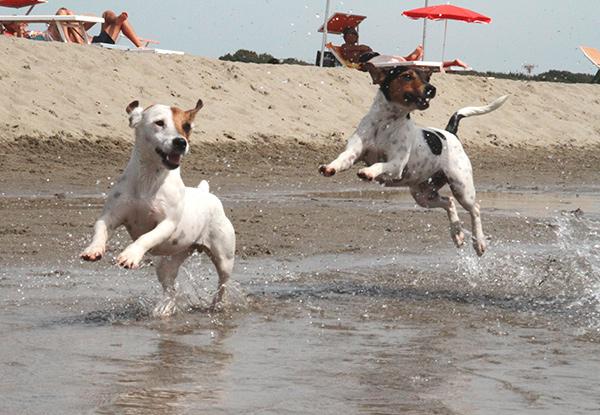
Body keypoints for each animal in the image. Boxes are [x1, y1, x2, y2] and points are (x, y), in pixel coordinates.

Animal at [81, 99, 236, 316]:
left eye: (187, 126)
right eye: (159, 123)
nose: (181, 142)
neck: (149, 178)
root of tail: (205, 193)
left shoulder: (167, 224)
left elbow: (147, 237)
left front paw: (130, 255)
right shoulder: (110, 215)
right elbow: (100, 229)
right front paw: (93, 249)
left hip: (224, 256)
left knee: (223, 283)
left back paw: (217, 304)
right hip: (171, 260)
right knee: (170, 287)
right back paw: (166, 308)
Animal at [318, 64, 506, 256]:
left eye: (427, 78)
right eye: (407, 76)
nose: (432, 89)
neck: (386, 124)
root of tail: (450, 133)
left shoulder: (396, 165)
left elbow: (380, 164)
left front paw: (368, 171)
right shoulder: (353, 153)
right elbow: (342, 160)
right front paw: (329, 167)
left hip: (461, 188)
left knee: (475, 209)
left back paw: (479, 242)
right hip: (423, 195)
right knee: (449, 202)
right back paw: (457, 234)